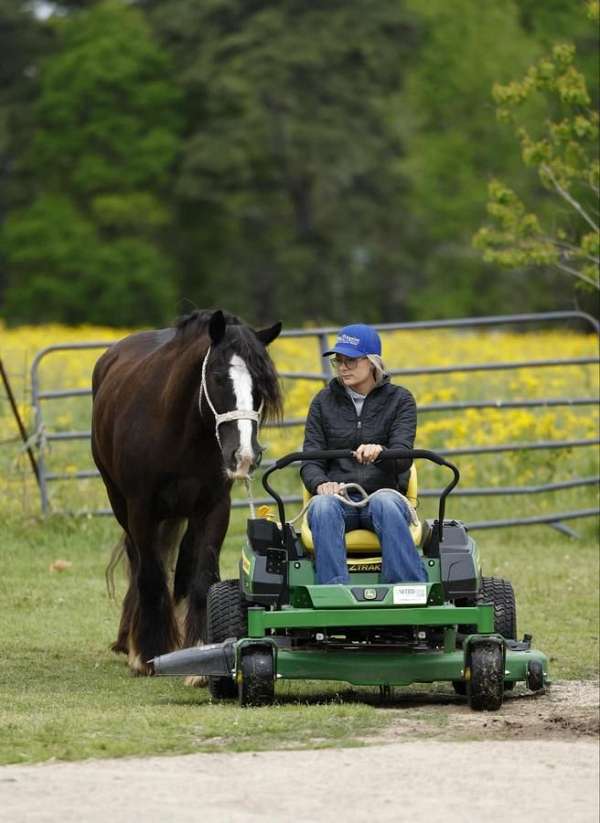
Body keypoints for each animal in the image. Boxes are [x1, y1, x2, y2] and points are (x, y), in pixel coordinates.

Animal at [91, 308, 284, 676]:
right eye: (219, 378)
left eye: (261, 385)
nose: (244, 455)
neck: (178, 432)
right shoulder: (141, 510)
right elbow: (151, 575)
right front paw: (149, 653)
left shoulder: (214, 508)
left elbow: (200, 575)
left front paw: (199, 653)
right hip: (121, 505)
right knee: (140, 563)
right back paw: (133, 641)